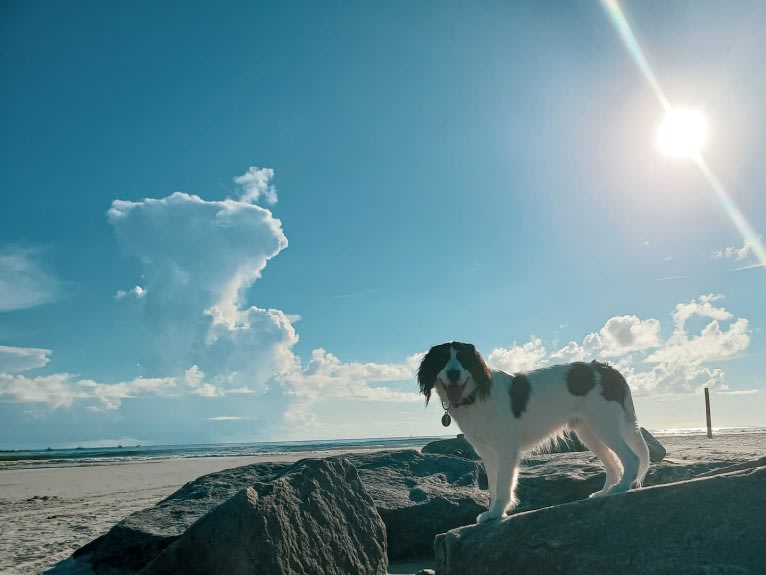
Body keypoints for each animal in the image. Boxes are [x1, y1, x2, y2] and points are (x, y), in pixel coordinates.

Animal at [416, 342, 652, 528]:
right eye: (442, 359)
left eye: (463, 359)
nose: (453, 373)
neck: (476, 395)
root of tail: (605, 368)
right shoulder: (488, 453)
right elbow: (493, 485)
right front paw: (493, 512)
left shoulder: (506, 450)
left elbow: (503, 486)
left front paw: (497, 513)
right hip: (589, 431)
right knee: (613, 464)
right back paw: (604, 492)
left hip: (604, 424)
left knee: (631, 458)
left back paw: (621, 487)